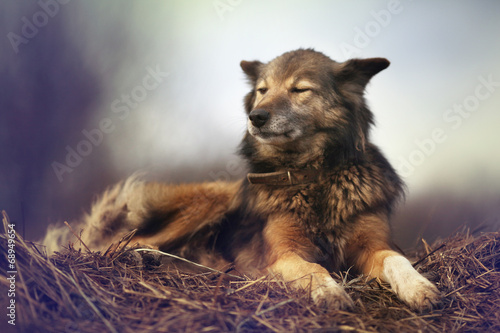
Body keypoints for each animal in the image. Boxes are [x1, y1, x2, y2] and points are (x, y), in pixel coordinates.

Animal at [44, 48, 442, 308]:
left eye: (300, 89)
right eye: (263, 89)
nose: (256, 117)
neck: (312, 176)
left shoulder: (374, 244)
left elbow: (396, 260)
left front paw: (420, 288)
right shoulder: (283, 254)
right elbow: (312, 267)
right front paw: (329, 291)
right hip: (213, 198)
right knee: (123, 243)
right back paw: (142, 258)